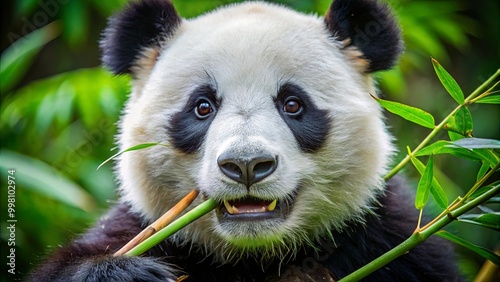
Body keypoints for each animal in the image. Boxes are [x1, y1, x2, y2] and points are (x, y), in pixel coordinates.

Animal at [30, 0, 460, 282]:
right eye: (202, 107)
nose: (247, 164)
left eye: (292, 104)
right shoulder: (147, 228)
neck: (256, 255)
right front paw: (126, 274)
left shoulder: (390, 239)